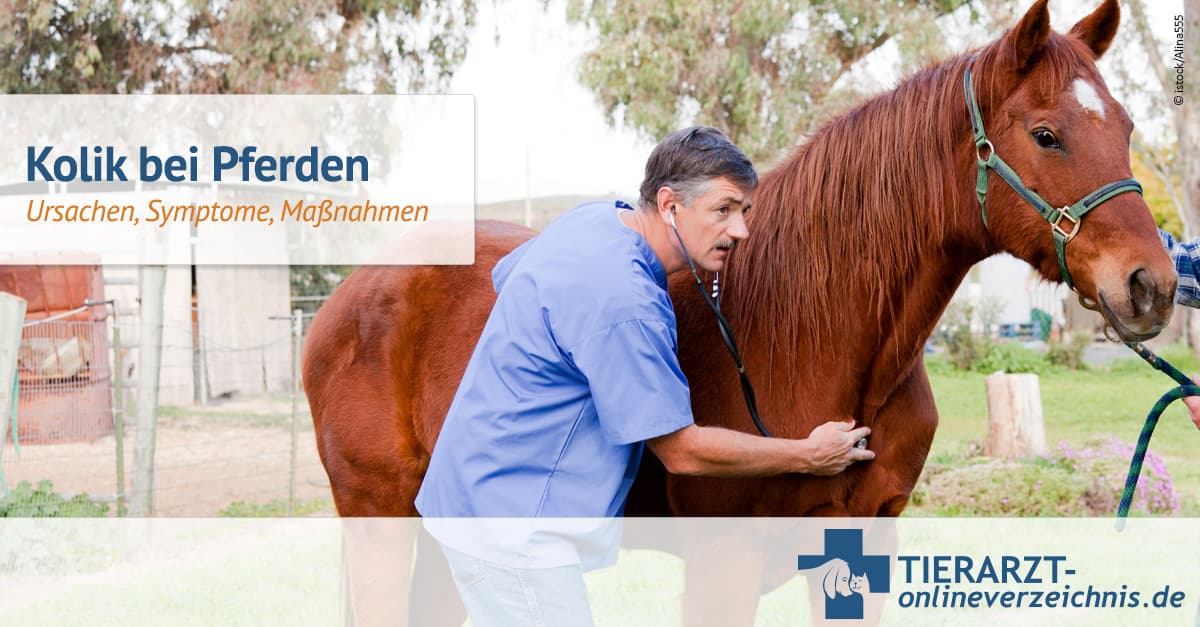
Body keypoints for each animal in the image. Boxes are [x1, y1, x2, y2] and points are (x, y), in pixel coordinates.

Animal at [303, 0, 1174, 621]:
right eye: (1046, 134)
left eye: (1130, 126)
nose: (1153, 285)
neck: (811, 334)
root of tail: (346, 297)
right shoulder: (723, 563)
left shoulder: (864, 542)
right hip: (380, 522)